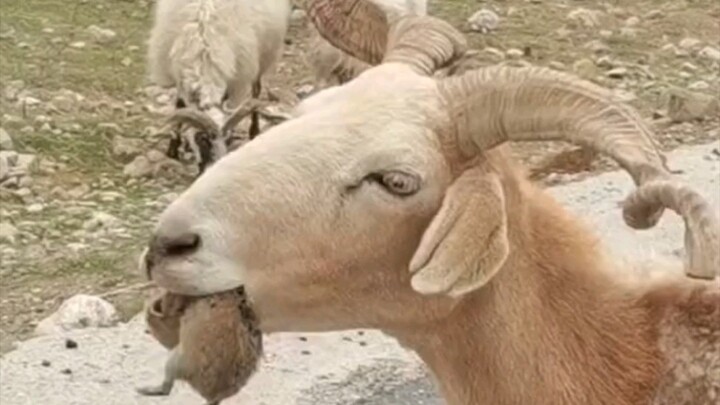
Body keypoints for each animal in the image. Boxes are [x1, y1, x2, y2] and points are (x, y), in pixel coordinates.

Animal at [147, 0, 292, 175]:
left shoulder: (237, 80)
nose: (214, 170)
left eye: (229, 139)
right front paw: (173, 148)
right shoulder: (179, 77)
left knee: (256, 90)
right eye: (202, 139)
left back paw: (254, 131)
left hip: (263, 55)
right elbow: (180, 106)